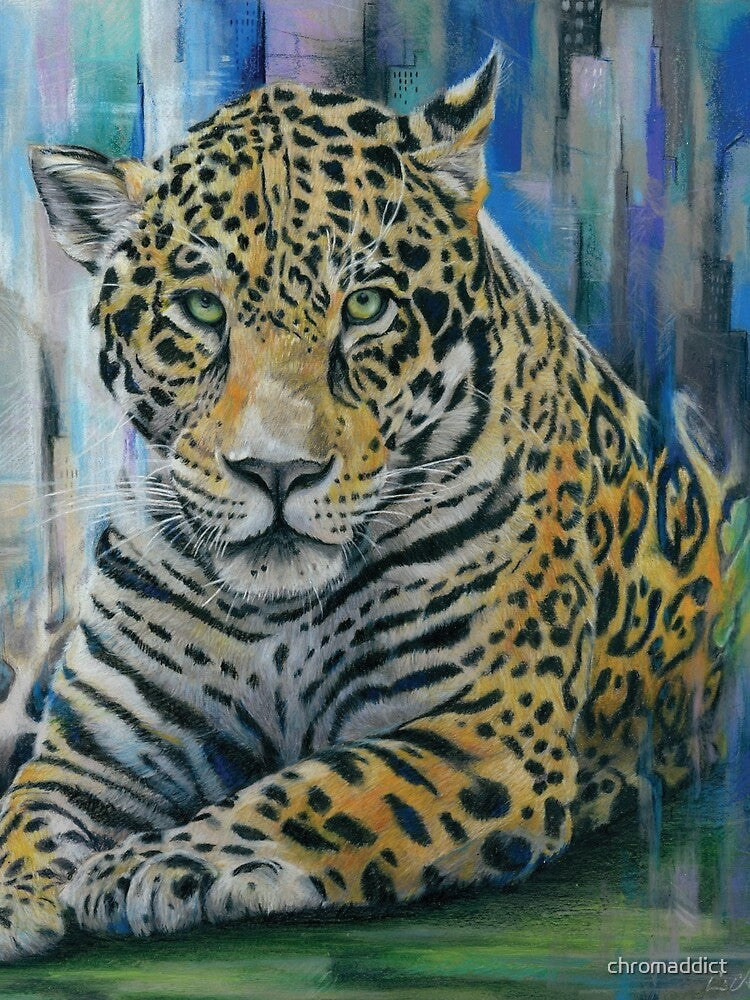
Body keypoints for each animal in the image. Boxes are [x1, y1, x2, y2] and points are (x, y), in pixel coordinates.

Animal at [0, 50, 747, 961]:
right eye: (201, 309)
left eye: (365, 306)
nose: (276, 472)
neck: (278, 615)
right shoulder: (95, 751)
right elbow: (27, 812)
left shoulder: (484, 731)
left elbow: (313, 788)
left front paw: (158, 862)